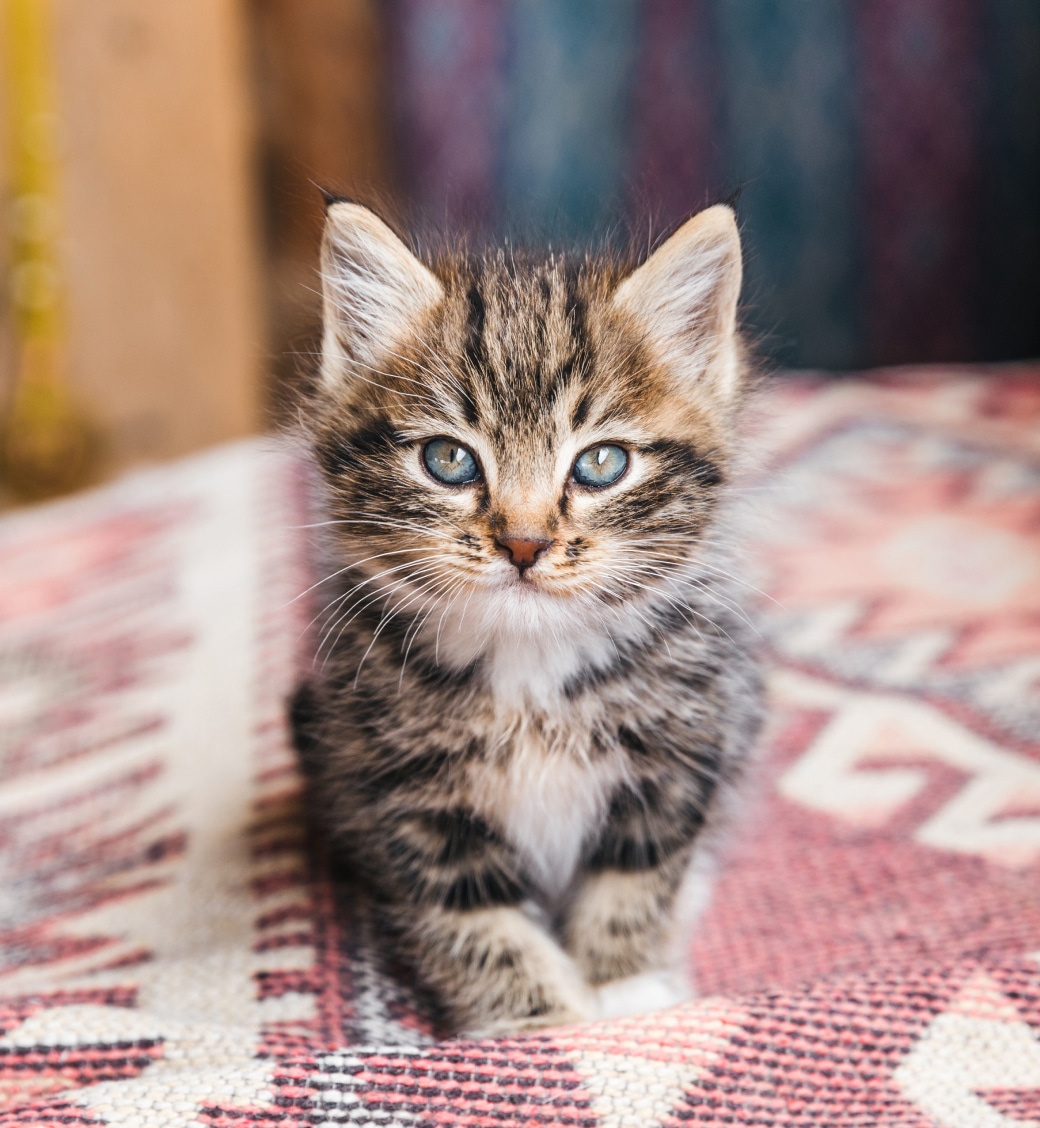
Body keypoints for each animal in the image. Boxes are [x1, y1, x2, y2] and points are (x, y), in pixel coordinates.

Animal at [287, 203, 758, 1037]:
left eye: (601, 464)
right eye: (448, 460)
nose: (524, 541)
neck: (531, 664)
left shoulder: (680, 747)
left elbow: (637, 874)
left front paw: (628, 990)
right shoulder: (402, 790)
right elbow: (474, 919)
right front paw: (539, 1024)